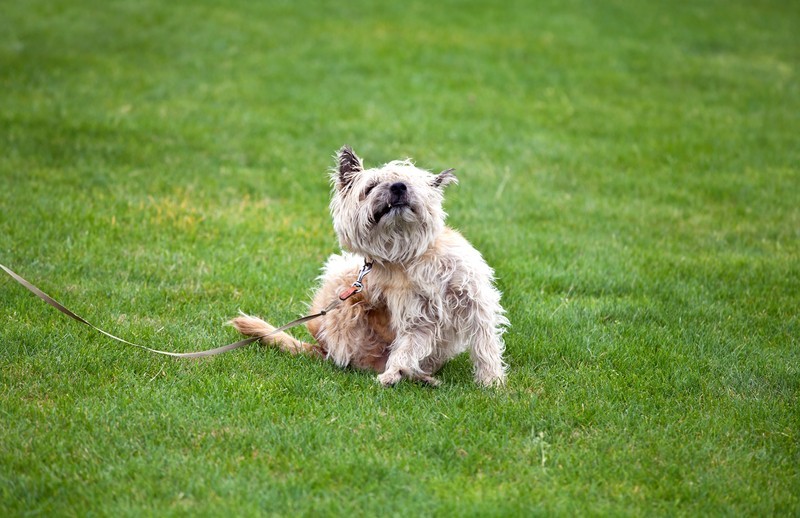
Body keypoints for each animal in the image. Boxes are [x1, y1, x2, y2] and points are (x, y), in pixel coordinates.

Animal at [231, 146, 506, 386]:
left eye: (410, 182)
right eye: (370, 187)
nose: (398, 186)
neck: (410, 255)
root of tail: (321, 349)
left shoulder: (473, 300)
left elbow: (485, 343)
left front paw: (492, 382)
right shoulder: (418, 317)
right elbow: (407, 348)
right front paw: (393, 373)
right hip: (341, 281)